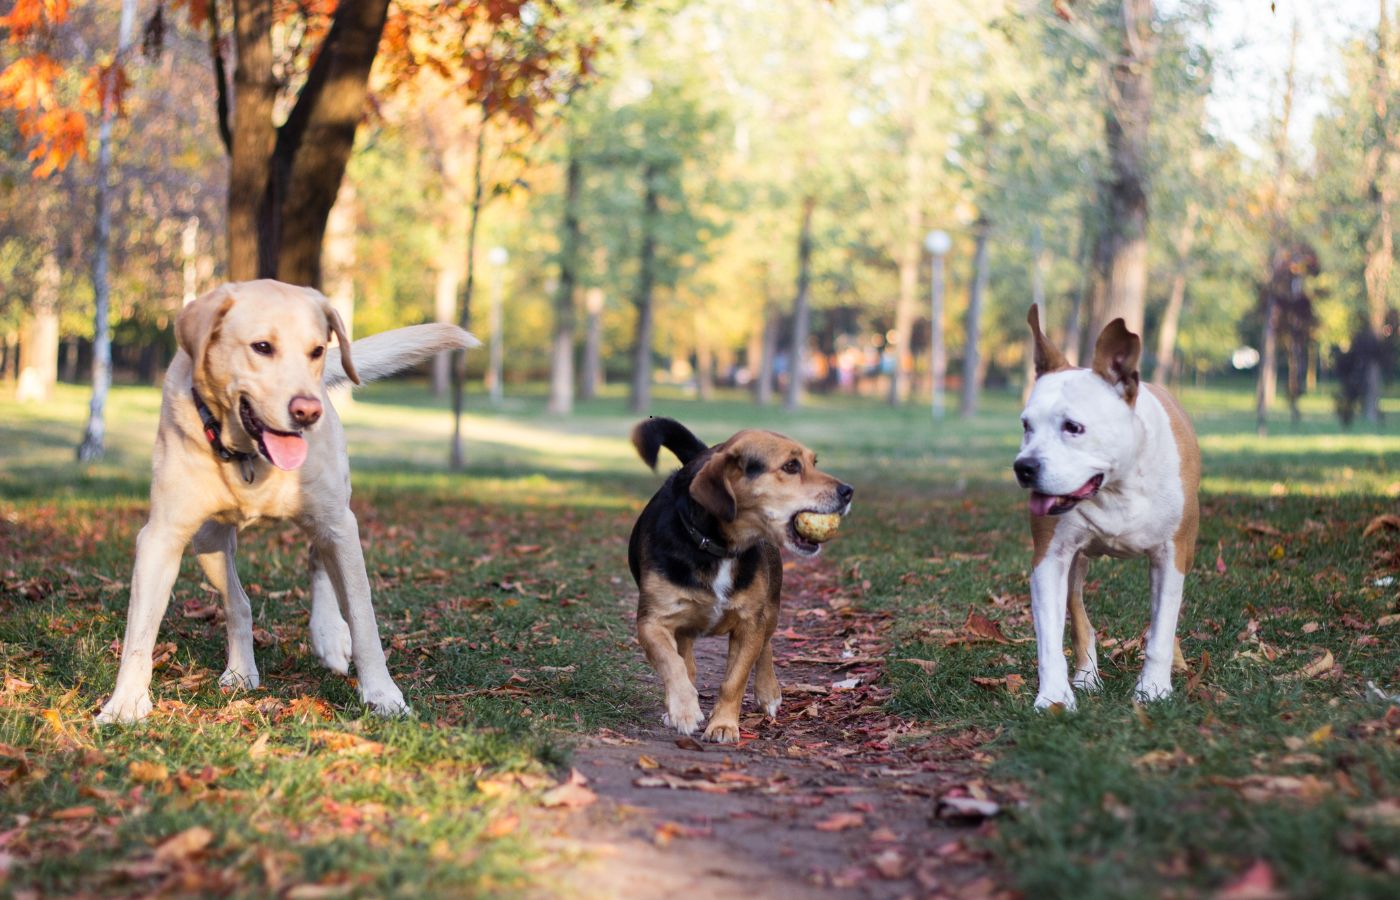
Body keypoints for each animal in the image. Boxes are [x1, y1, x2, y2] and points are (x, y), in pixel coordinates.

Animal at [97, 279, 481, 727]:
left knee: (319, 559)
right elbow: (140, 631)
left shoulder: (339, 524)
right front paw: (125, 702)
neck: (249, 455)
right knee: (239, 603)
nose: (308, 411)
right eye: (262, 347)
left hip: (329, 512)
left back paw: (329, 634)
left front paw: (382, 693)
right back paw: (241, 669)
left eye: (316, 350)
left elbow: (364, 618)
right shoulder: (162, 536)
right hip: (208, 541)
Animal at [627, 419, 845, 744]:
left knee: (765, 646)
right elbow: (673, 664)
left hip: (770, 608)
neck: (717, 546)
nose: (848, 492)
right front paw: (684, 711)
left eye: (813, 463)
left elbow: (734, 680)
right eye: (791, 466)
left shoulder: (749, 623)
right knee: (687, 660)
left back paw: (768, 692)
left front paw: (723, 725)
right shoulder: (652, 622)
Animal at [1013, 309, 1198, 711]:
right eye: (1026, 425)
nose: (1024, 467)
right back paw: (1086, 676)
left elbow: (1162, 629)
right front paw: (1053, 697)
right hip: (1075, 564)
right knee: (1079, 616)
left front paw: (1154, 689)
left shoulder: (1171, 555)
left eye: (1073, 427)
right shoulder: (1050, 558)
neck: (1116, 485)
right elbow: (1049, 639)